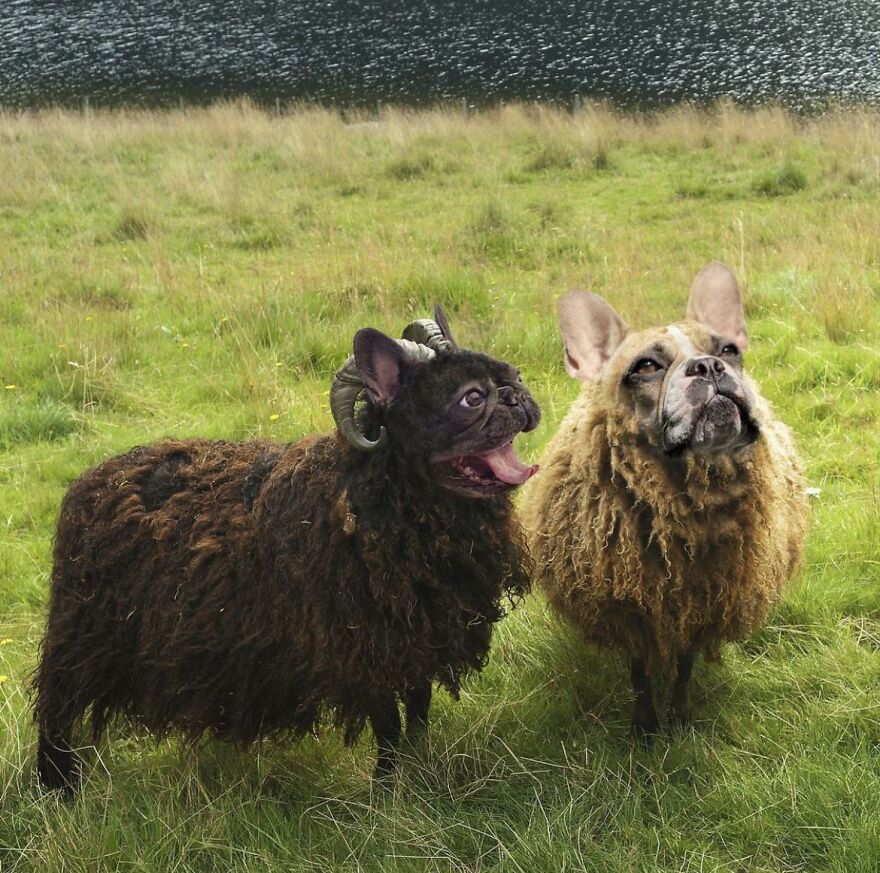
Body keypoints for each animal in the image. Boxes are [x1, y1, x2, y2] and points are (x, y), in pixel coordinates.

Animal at [33, 307, 541, 792]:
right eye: (471, 397)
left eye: (513, 376)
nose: (515, 397)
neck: (374, 497)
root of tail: (87, 484)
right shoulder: (366, 649)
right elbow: (389, 724)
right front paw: (387, 787)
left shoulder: (417, 640)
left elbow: (417, 710)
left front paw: (416, 768)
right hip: (83, 634)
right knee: (55, 708)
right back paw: (56, 785)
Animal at [523, 263, 807, 735]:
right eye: (646, 366)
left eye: (729, 350)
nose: (708, 366)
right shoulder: (630, 611)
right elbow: (639, 674)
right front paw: (646, 727)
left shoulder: (701, 606)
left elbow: (685, 669)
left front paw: (678, 717)